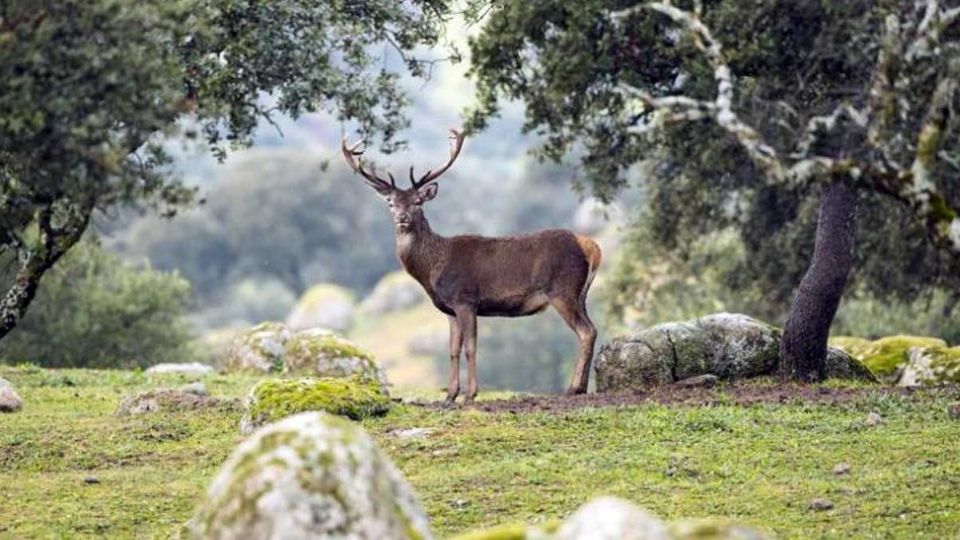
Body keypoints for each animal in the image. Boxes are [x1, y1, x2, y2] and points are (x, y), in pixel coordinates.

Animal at [344, 129, 600, 402]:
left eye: (418, 201)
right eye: (391, 203)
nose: (402, 218)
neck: (432, 269)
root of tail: (591, 247)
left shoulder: (466, 299)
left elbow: (470, 348)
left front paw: (470, 394)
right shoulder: (450, 309)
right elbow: (453, 350)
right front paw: (450, 395)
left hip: (562, 290)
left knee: (585, 331)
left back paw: (573, 388)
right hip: (580, 295)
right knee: (592, 329)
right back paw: (583, 387)